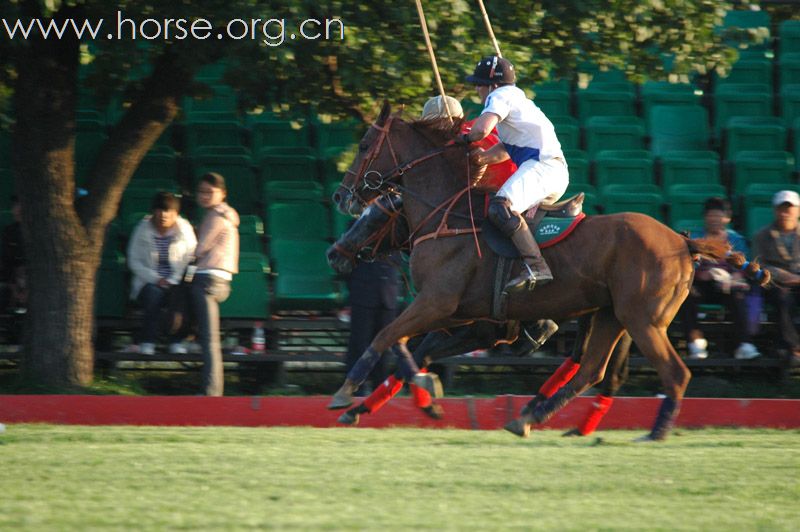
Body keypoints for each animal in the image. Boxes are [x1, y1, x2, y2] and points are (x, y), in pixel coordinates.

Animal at [330, 102, 764, 438]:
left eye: (365, 145)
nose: (341, 196)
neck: (447, 215)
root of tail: (682, 242)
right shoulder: (458, 315)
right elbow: (406, 346)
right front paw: (406, 398)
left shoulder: (444, 306)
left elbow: (389, 336)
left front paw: (349, 392)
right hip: (613, 315)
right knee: (593, 369)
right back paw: (534, 417)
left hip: (642, 318)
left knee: (669, 374)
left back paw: (650, 433)